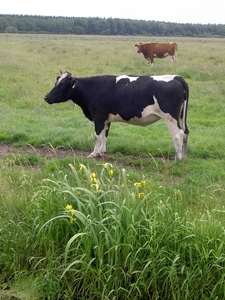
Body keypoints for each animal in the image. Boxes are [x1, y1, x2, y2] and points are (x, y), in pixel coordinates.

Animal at [43, 72, 188, 161]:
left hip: (170, 118)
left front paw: (94, 154)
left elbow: (97, 136)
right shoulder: (106, 119)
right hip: (181, 117)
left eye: (62, 85)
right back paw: (184, 156)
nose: (46, 97)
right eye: (56, 83)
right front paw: (102, 152)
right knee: (185, 133)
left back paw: (177, 159)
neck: (93, 88)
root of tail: (177, 77)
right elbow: (104, 135)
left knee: (178, 135)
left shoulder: (99, 117)